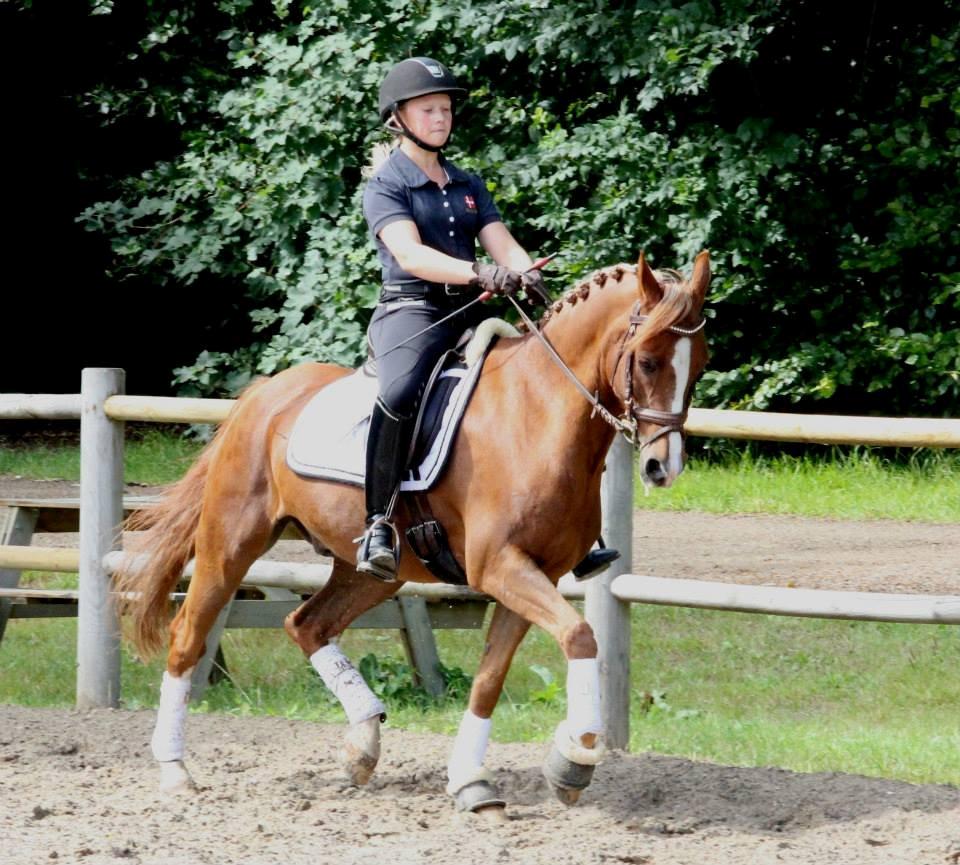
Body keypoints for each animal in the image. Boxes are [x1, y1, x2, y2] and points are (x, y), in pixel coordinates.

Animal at [114, 251, 712, 816]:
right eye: (648, 360)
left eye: (698, 366)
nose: (662, 467)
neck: (538, 415)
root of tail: (263, 394)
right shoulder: (500, 567)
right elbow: (581, 636)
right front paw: (575, 759)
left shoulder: (530, 576)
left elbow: (491, 679)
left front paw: (472, 782)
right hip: (231, 542)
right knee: (188, 634)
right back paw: (174, 768)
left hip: (373, 571)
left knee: (307, 624)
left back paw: (362, 746)